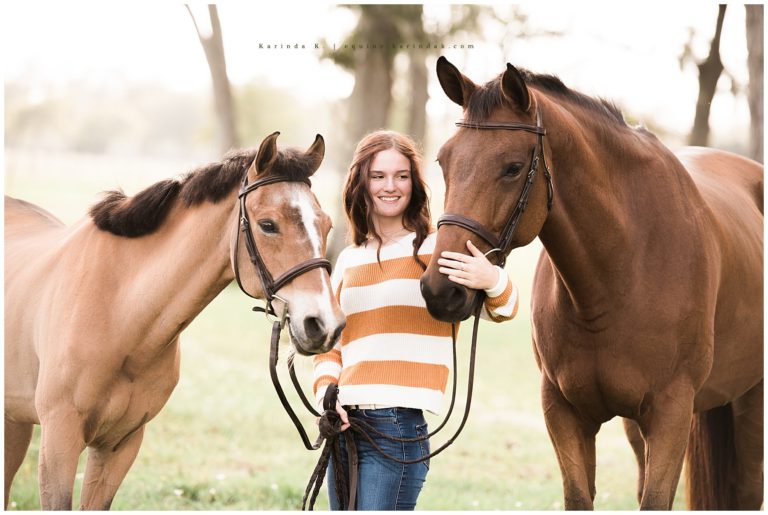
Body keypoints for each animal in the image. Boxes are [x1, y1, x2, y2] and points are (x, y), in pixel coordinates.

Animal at [4, 132, 346, 510]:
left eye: (327, 225)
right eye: (268, 225)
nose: (325, 324)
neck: (117, 310)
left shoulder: (121, 444)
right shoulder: (59, 441)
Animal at [420, 56, 763, 510]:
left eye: (512, 168)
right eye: (444, 161)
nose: (441, 290)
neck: (618, 273)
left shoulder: (671, 414)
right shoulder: (564, 412)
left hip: (750, 400)